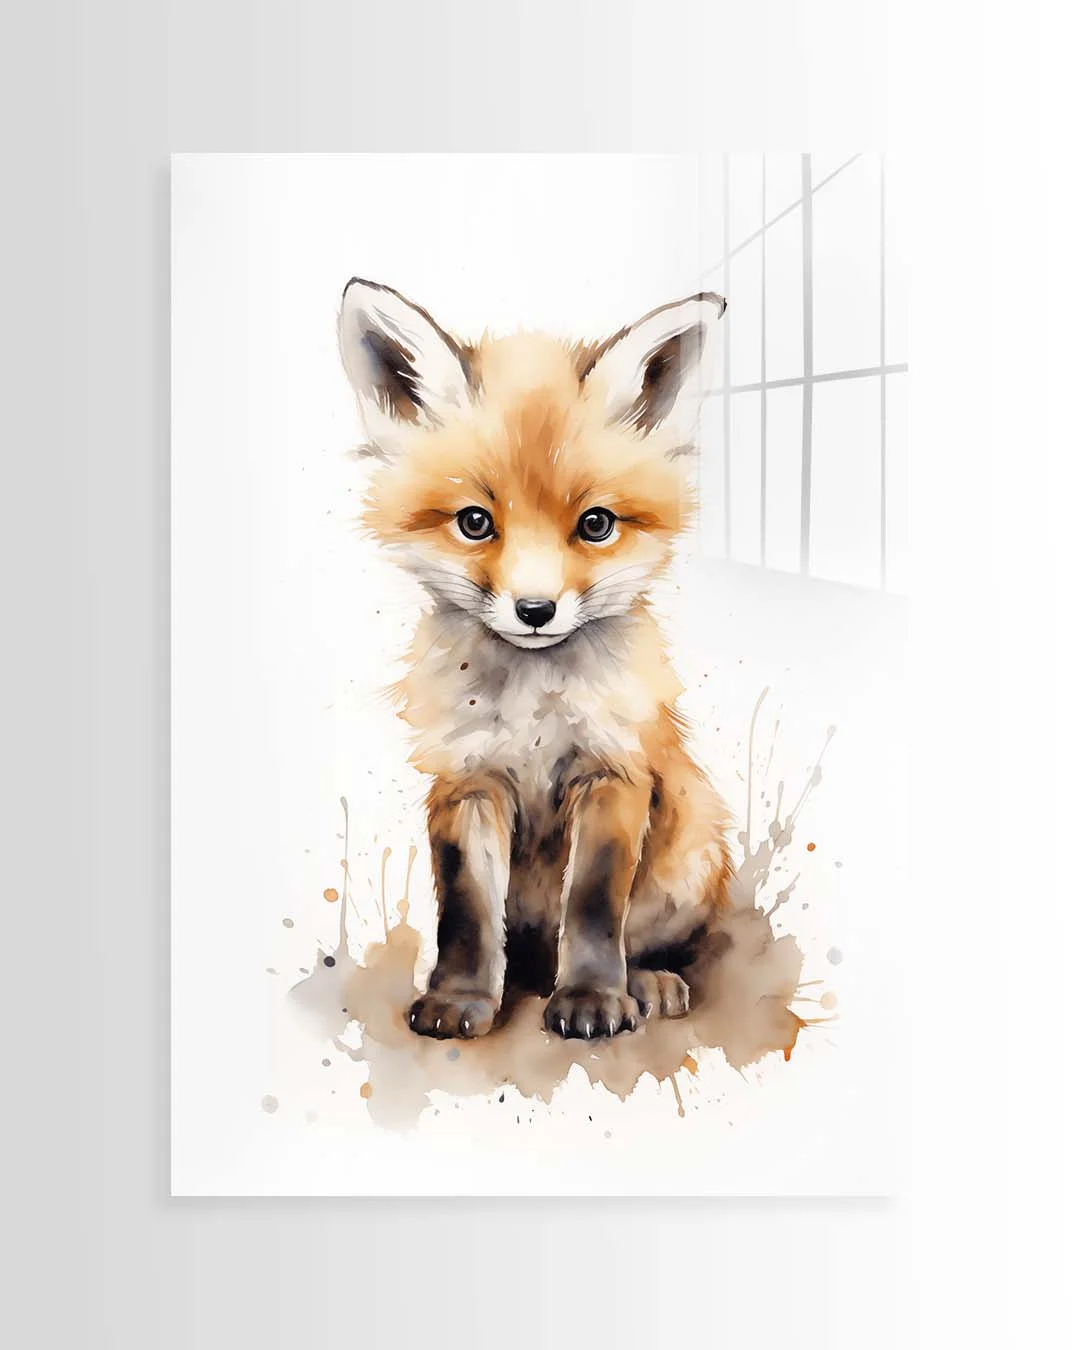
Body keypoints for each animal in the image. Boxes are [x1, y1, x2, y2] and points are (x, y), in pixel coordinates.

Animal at [339, 278, 734, 1041]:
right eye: (474, 522)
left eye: (596, 525)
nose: (535, 610)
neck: (532, 711)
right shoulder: (467, 780)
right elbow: (466, 914)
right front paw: (461, 999)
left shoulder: (611, 773)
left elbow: (593, 906)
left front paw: (591, 997)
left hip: (690, 857)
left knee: (647, 939)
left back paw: (647, 982)